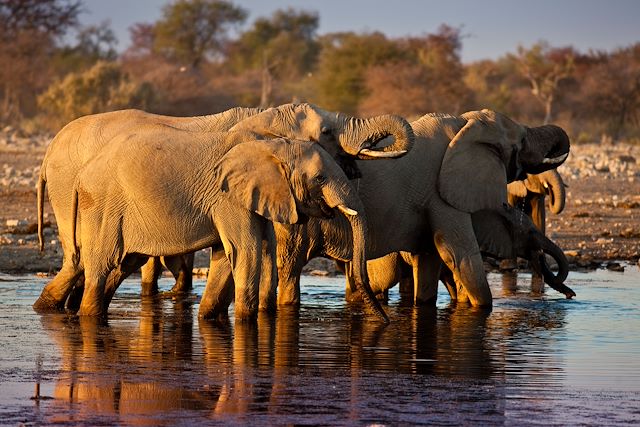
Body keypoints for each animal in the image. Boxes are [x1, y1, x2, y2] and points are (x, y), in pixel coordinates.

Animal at [258, 109, 568, 310]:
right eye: (522, 141)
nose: (570, 296)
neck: (464, 124)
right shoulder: (442, 194)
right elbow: (459, 255)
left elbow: (430, 258)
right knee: (290, 268)